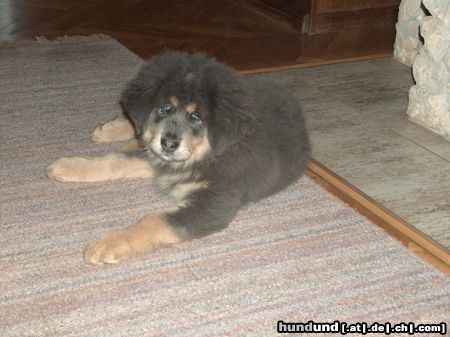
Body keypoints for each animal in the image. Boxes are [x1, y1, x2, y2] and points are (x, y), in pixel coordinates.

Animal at [46, 51, 312, 262]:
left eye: (196, 116)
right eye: (166, 108)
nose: (169, 144)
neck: (206, 154)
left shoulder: (214, 202)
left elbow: (153, 220)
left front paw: (106, 244)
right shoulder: (158, 155)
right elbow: (115, 159)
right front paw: (66, 166)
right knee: (137, 127)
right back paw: (110, 129)